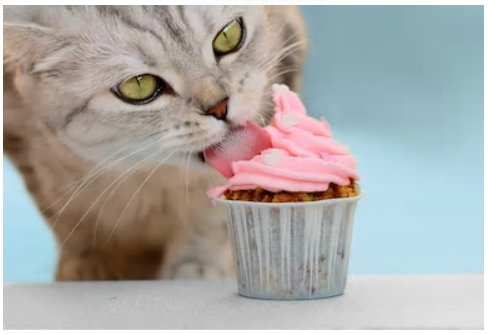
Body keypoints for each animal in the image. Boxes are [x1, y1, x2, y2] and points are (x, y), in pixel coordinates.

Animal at [3, 5, 306, 282]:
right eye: (139, 86)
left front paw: (195, 269)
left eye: (229, 36)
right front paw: (91, 270)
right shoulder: (32, 158)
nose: (219, 107)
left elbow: (210, 222)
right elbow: (74, 230)